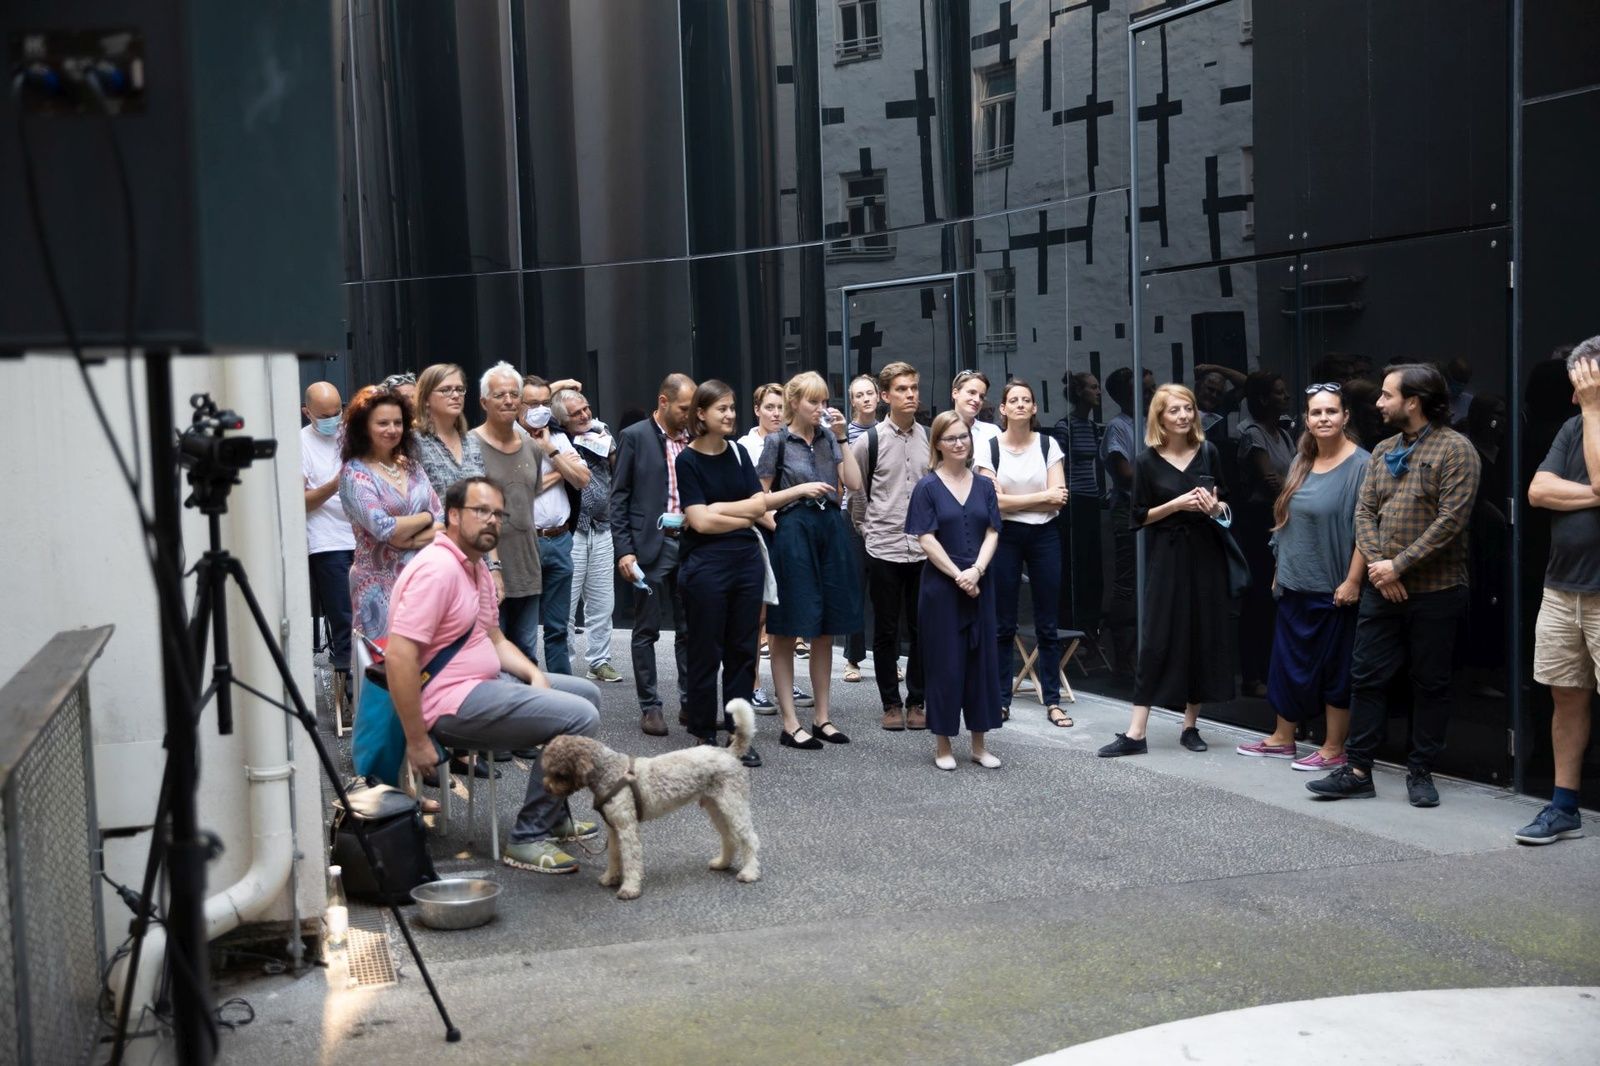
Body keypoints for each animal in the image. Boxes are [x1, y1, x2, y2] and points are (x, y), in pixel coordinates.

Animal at [541, 699, 761, 900]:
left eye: (560, 774)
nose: (546, 787)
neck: (609, 771)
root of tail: (729, 752)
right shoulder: (614, 828)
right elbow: (614, 855)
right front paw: (610, 878)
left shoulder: (627, 828)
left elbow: (631, 859)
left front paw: (629, 888)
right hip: (717, 808)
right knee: (729, 837)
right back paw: (722, 863)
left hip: (734, 806)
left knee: (749, 838)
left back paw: (749, 872)